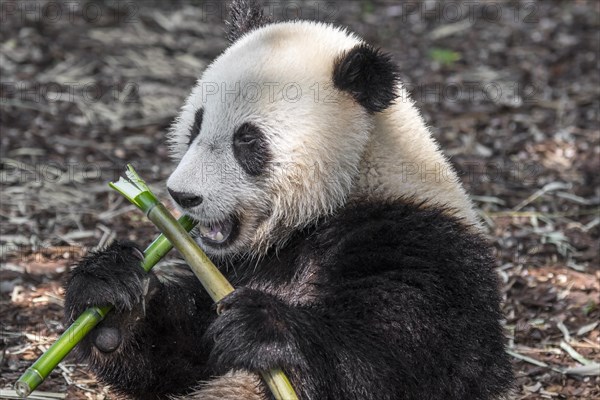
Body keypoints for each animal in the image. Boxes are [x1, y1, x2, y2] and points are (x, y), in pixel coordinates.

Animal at [65, 1, 516, 398]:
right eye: (195, 127)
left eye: (247, 141)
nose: (183, 195)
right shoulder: (235, 267)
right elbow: (180, 356)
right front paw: (111, 298)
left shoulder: (419, 242)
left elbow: (408, 360)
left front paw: (262, 327)